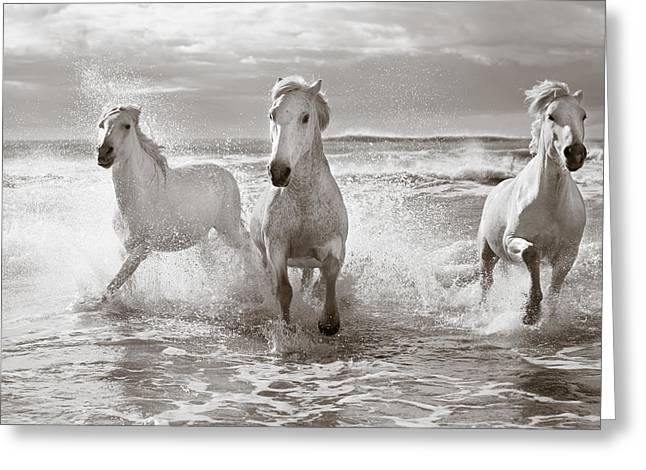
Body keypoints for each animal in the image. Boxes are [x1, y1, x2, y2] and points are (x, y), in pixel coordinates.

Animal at [86, 105, 248, 304]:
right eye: (102, 125)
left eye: (127, 126)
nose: (104, 153)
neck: (139, 197)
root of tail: (226, 173)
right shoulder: (124, 247)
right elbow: (125, 281)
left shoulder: (142, 249)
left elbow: (113, 284)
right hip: (202, 237)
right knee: (211, 264)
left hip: (228, 230)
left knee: (247, 245)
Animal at [250, 76, 348, 335]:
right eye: (271, 115)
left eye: (305, 117)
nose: (278, 172)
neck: (303, 200)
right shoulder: (276, 248)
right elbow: (284, 290)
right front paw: (286, 329)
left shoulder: (333, 244)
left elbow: (329, 273)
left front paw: (329, 322)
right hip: (265, 256)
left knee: (307, 279)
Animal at [477, 80, 588, 325]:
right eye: (550, 116)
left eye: (583, 115)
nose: (575, 153)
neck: (550, 203)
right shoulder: (511, 240)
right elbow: (531, 252)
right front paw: (530, 311)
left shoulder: (568, 253)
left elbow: (554, 290)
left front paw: (544, 316)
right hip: (486, 251)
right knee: (486, 282)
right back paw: (483, 312)